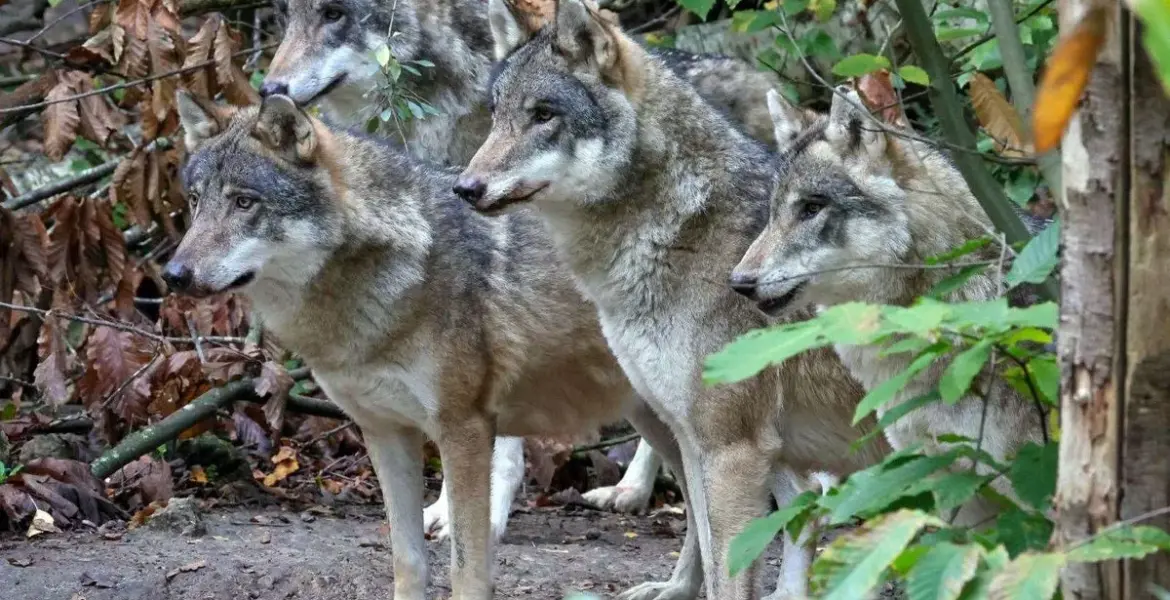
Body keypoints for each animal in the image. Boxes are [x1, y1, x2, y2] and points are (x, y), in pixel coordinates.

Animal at [165, 91, 701, 600]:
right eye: (194, 201)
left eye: (244, 202)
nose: (174, 274)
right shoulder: (385, 433)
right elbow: (406, 559)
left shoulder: (464, 429)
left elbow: (467, 568)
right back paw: (675, 588)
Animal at [456, 1, 889, 597]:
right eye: (496, 115)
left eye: (543, 115)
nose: (465, 187)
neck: (683, 230)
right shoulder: (702, 437)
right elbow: (709, 543)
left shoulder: (732, 447)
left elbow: (729, 571)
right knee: (807, 503)